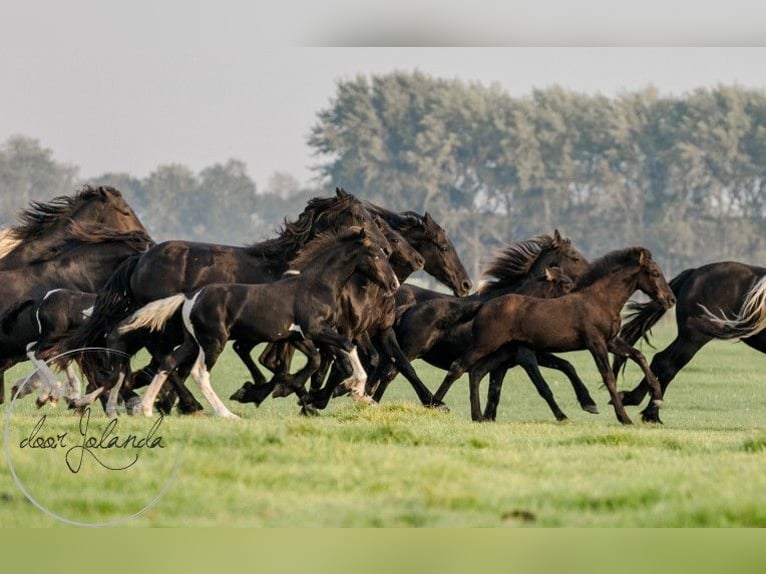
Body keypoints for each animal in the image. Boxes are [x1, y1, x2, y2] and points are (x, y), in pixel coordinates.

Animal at [115, 227, 399, 418]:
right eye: (375, 254)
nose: (394, 284)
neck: (315, 285)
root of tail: (189, 297)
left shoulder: (299, 335)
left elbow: (324, 358)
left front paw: (354, 394)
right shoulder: (316, 329)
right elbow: (346, 347)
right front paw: (356, 390)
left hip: (192, 342)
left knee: (169, 362)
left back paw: (146, 408)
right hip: (213, 342)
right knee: (198, 372)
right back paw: (225, 414)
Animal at [431, 247, 676, 424]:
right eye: (655, 273)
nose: (670, 299)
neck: (600, 300)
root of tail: (484, 306)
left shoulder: (611, 341)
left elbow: (638, 356)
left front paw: (657, 395)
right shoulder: (595, 343)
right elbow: (608, 377)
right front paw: (623, 417)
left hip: (504, 351)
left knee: (477, 372)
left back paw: (479, 416)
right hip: (484, 345)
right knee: (458, 367)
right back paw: (435, 404)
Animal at [614, 261, 766, 422]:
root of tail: (694, 273)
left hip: (687, 338)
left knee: (661, 360)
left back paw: (645, 408)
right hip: (693, 338)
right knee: (668, 363)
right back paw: (645, 407)